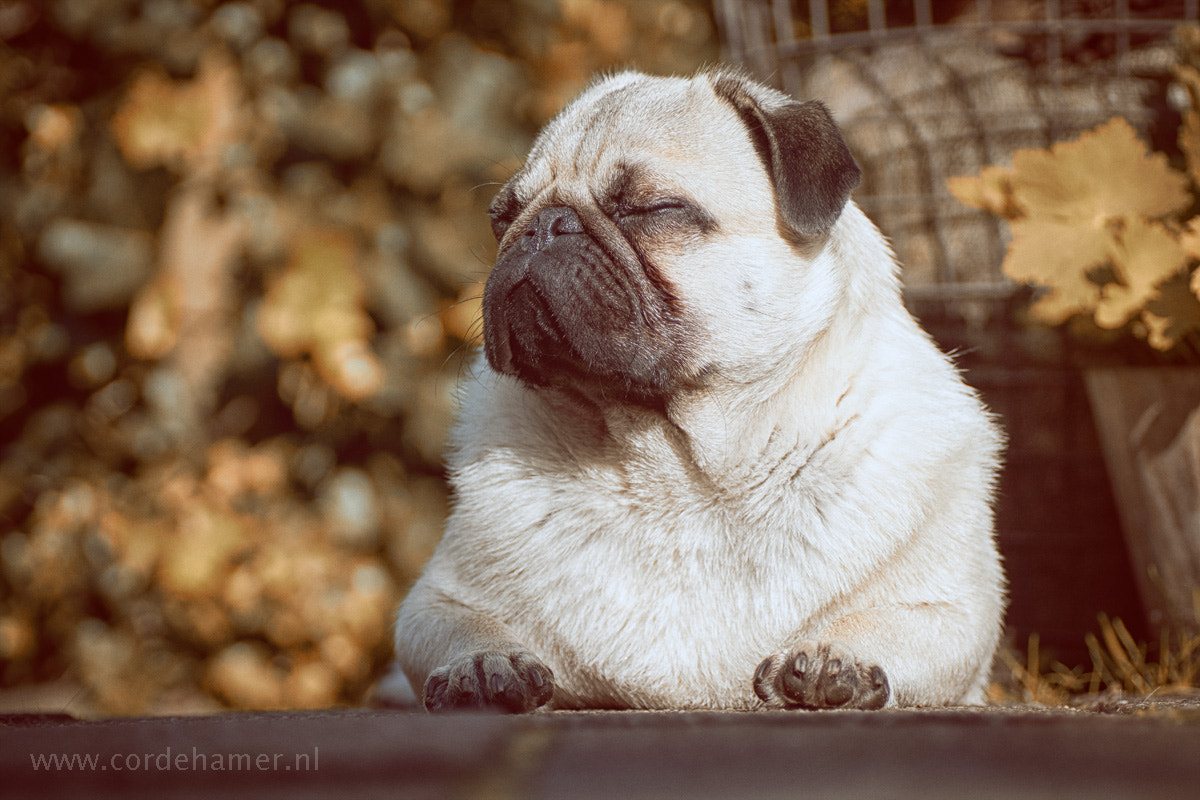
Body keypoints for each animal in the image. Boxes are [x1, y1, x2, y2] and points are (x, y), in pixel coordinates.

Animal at [386, 65, 1003, 710]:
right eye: (502, 217)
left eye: (651, 208)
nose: (544, 227)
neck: (681, 471)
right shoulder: (433, 603)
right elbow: (464, 624)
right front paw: (483, 666)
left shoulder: (954, 615)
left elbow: (887, 621)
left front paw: (836, 658)